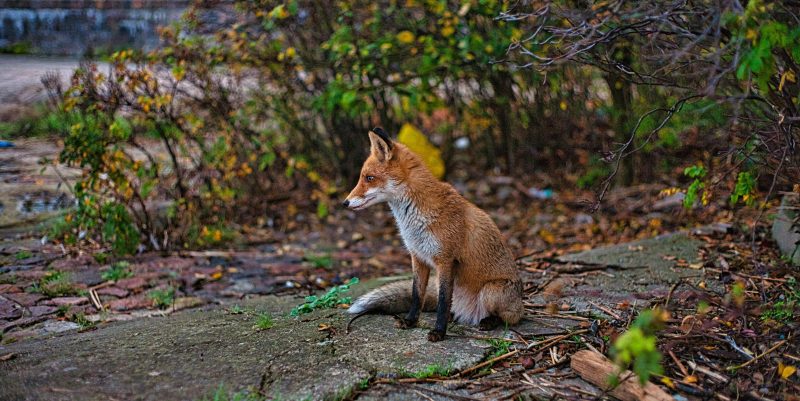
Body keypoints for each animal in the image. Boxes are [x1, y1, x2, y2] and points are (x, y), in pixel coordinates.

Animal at [343, 127, 523, 342]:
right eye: (363, 177)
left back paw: (488, 321)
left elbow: (443, 301)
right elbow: (417, 295)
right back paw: (456, 316)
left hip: (491, 291)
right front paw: (410, 321)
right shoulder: (418, 257)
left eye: (369, 178)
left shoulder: (445, 260)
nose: (344, 203)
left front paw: (439, 332)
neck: (414, 219)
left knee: (506, 318)